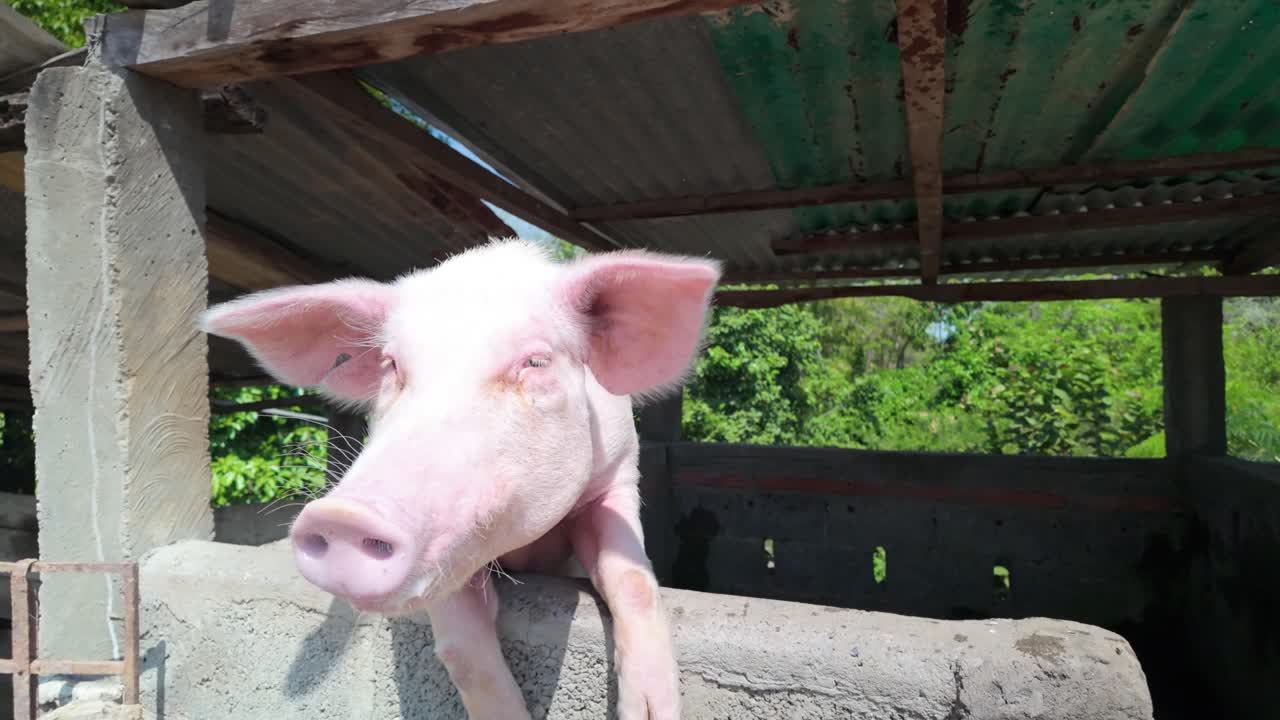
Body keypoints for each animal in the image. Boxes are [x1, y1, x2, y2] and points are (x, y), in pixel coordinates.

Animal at [201, 238, 721, 720]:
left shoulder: (617, 474)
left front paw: (654, 711)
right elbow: (461, 646)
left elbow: (632, 577)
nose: (342, 516)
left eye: (536, 363)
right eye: (391, 365)